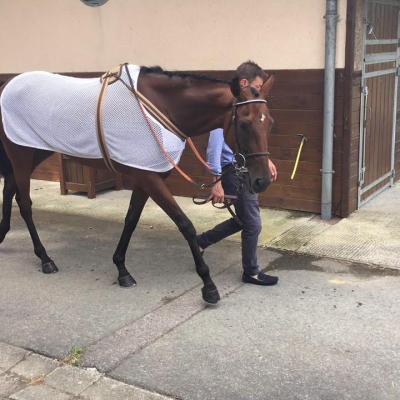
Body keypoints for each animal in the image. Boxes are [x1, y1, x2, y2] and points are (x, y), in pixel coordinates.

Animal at [0, 62, 276, 304]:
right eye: (244, 123)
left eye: (269, 122)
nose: (262, 180)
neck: (162, 108)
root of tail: (7, 85)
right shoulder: (149, 178)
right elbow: (185, 224)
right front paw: (208, 286)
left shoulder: (147, 177)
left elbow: (131, 219)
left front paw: (122, 269)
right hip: (20, 154)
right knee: (24, 204)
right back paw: (45, 258)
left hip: (34, 152)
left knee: (10, 189)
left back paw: (4, 236)